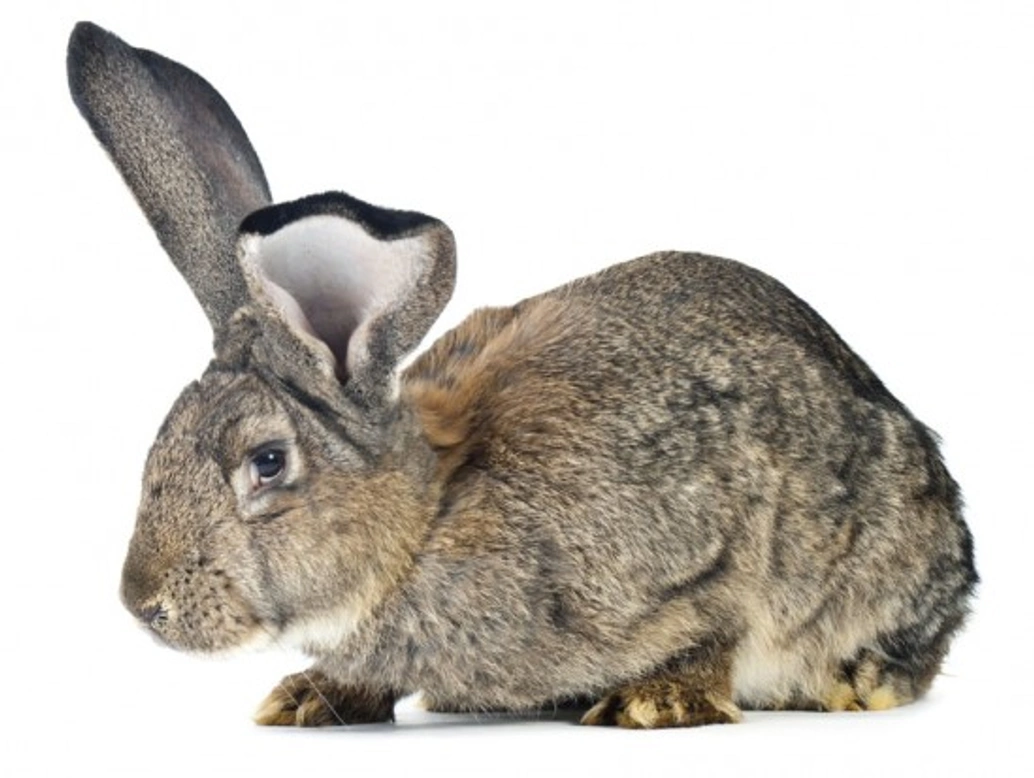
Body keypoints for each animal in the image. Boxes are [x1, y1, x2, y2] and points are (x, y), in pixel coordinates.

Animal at [67, 21, 977, 729]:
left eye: (266, 463)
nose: (141, 605)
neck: (427, 519)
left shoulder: (718, 532)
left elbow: (715, 626)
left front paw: (656, 703)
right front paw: (308, 698)